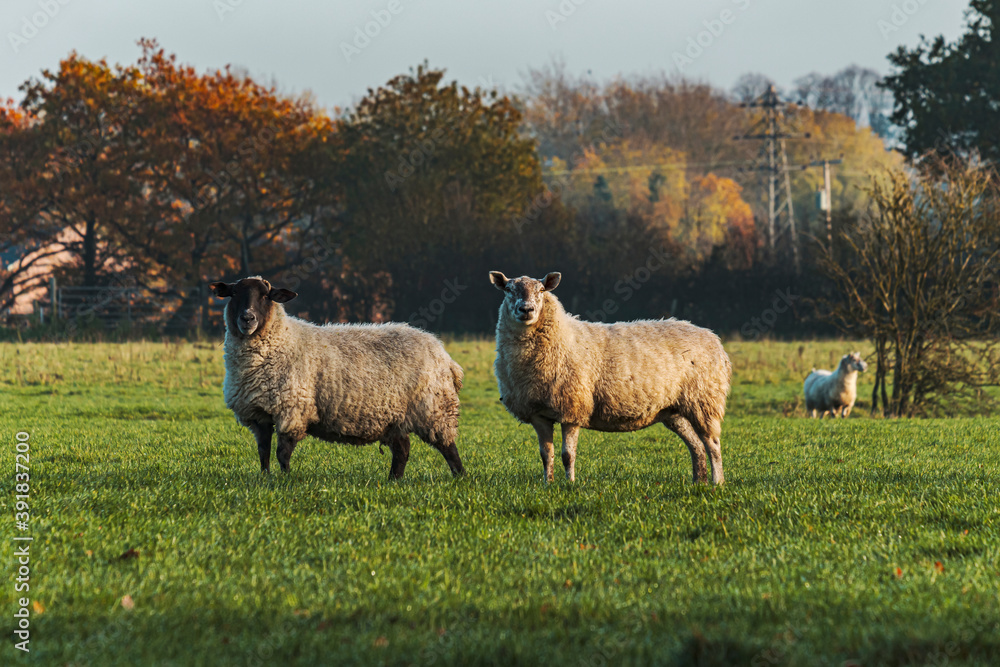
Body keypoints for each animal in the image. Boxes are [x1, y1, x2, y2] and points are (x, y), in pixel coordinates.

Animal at [209, 276, 465, 479]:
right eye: (234, 294)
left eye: (266, 296)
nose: (247, 318)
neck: (281, 339)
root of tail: (443, 353)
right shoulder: (258, 414)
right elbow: (263, 451)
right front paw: (265, 478)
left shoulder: (292, 410)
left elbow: (283, 452)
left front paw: (286, 479)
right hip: (395, 417)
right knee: (402, 450)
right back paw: (394, 480)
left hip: (434, 408)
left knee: (448, 446)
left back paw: (460, 476)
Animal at [489, 271, 731, 485]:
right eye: (508, 290)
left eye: (541, 290)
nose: (526, 309)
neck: (562, 337)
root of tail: (712, 337)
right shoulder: (538, 414)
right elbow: (546, 455)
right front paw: (548, 485)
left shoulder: (572, 408)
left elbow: (567, 455)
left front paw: (569, 484)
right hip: (674, 410)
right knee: (696, 446)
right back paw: (698, 481)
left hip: (703, 400)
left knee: (712, 444)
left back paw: (717, 483)